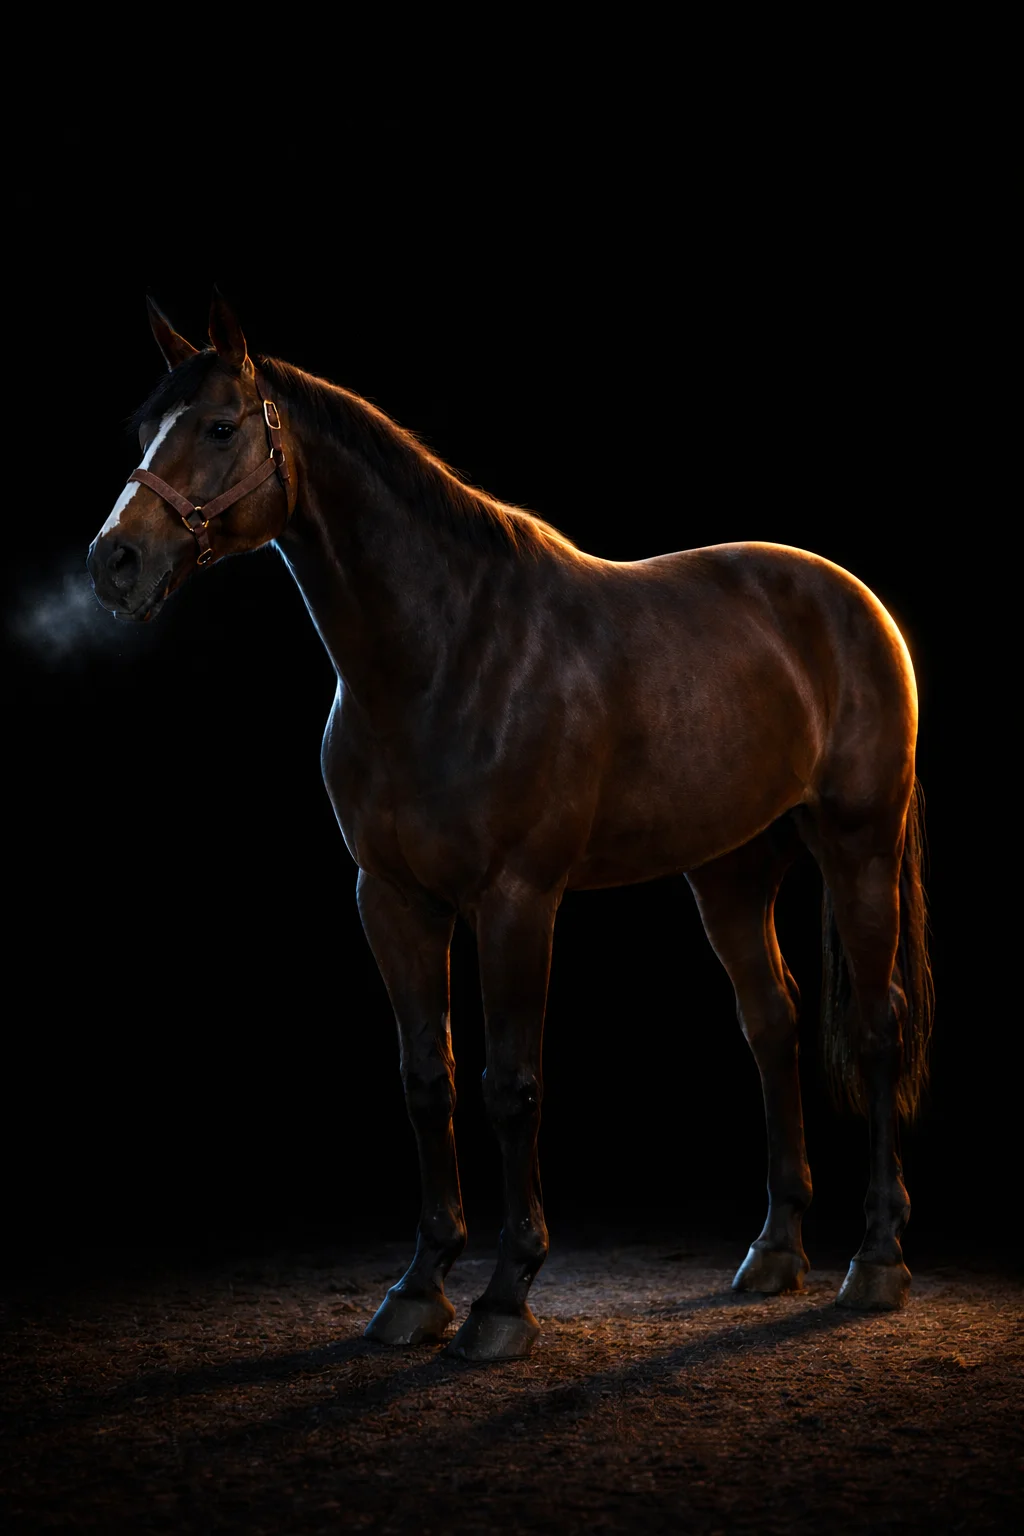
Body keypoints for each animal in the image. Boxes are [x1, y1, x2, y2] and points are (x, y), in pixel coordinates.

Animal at [88, 292, 933, 1361]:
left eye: (221, 427)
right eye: (143, 430)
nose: (114, 561)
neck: (445, 656)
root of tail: (853, 601)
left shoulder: (517, 902)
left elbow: (510, 1083)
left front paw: (503, 1297)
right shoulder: (391, 901)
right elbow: (427, 1079)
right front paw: (418, 1288)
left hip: (860, 847)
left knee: (875, 1027)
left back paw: (877, 1261)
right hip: (731, 871)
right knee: (771, 1023)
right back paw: (775, 1251)